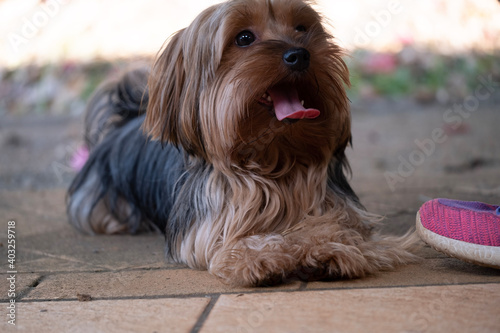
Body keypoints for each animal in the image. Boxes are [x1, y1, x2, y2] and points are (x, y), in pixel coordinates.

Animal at [66, 0, 418, 286]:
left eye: (302, 28)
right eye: (244, 38)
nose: (299, 54)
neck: (278, 159)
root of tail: (123, 120)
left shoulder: (341, 207)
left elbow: (337, 225)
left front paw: (329, 248)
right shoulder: (206, 224)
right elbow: (224, 240)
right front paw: (260, 256)